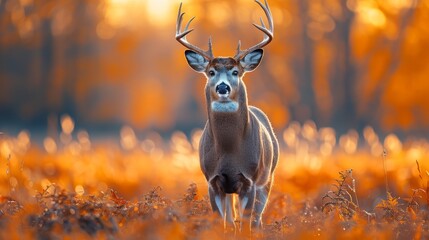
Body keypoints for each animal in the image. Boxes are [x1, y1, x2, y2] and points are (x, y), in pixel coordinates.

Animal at [176, 0, 280, 229]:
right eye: (211, 72)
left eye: (235, 72)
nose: (222, 87)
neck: (229, 151)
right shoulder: (213, 181)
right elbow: (224, 225)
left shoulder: (250, 180)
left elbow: (244, 226)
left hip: (267, 179)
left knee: (257, 221)